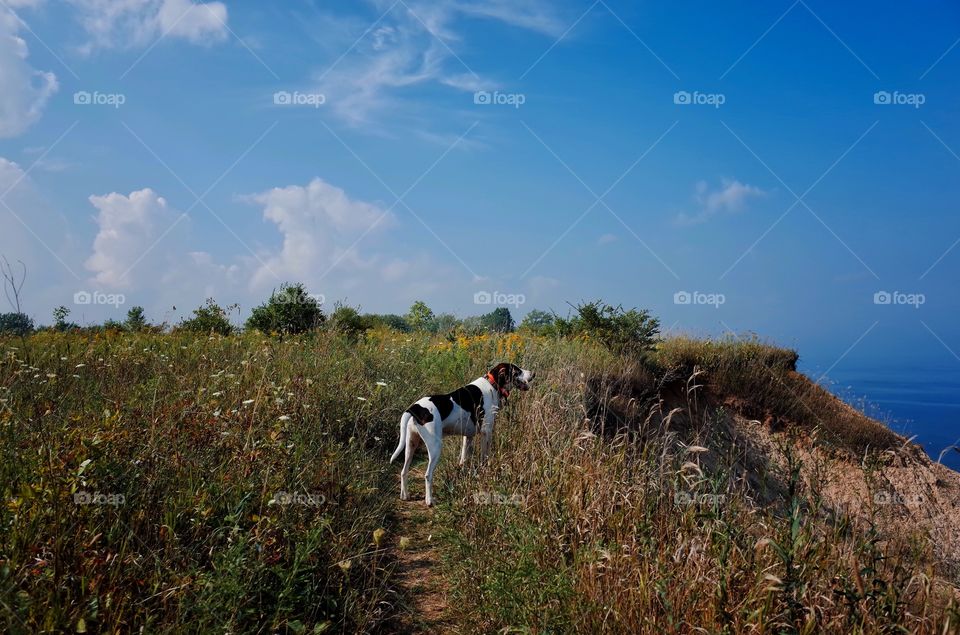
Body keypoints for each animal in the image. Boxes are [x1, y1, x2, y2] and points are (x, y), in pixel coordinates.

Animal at [394, 362, 536, 506]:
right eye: (517, 371)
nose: (533, 374)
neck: (492, 384)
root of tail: (415, 407)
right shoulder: (486, 433)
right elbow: (485, 458)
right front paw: (485, 473)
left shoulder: (468, 437)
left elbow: (463, 460)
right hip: (435, 447)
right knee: (428, 475)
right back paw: (429, 500)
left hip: (411, 445)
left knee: (403, 471)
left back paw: (405, 495)